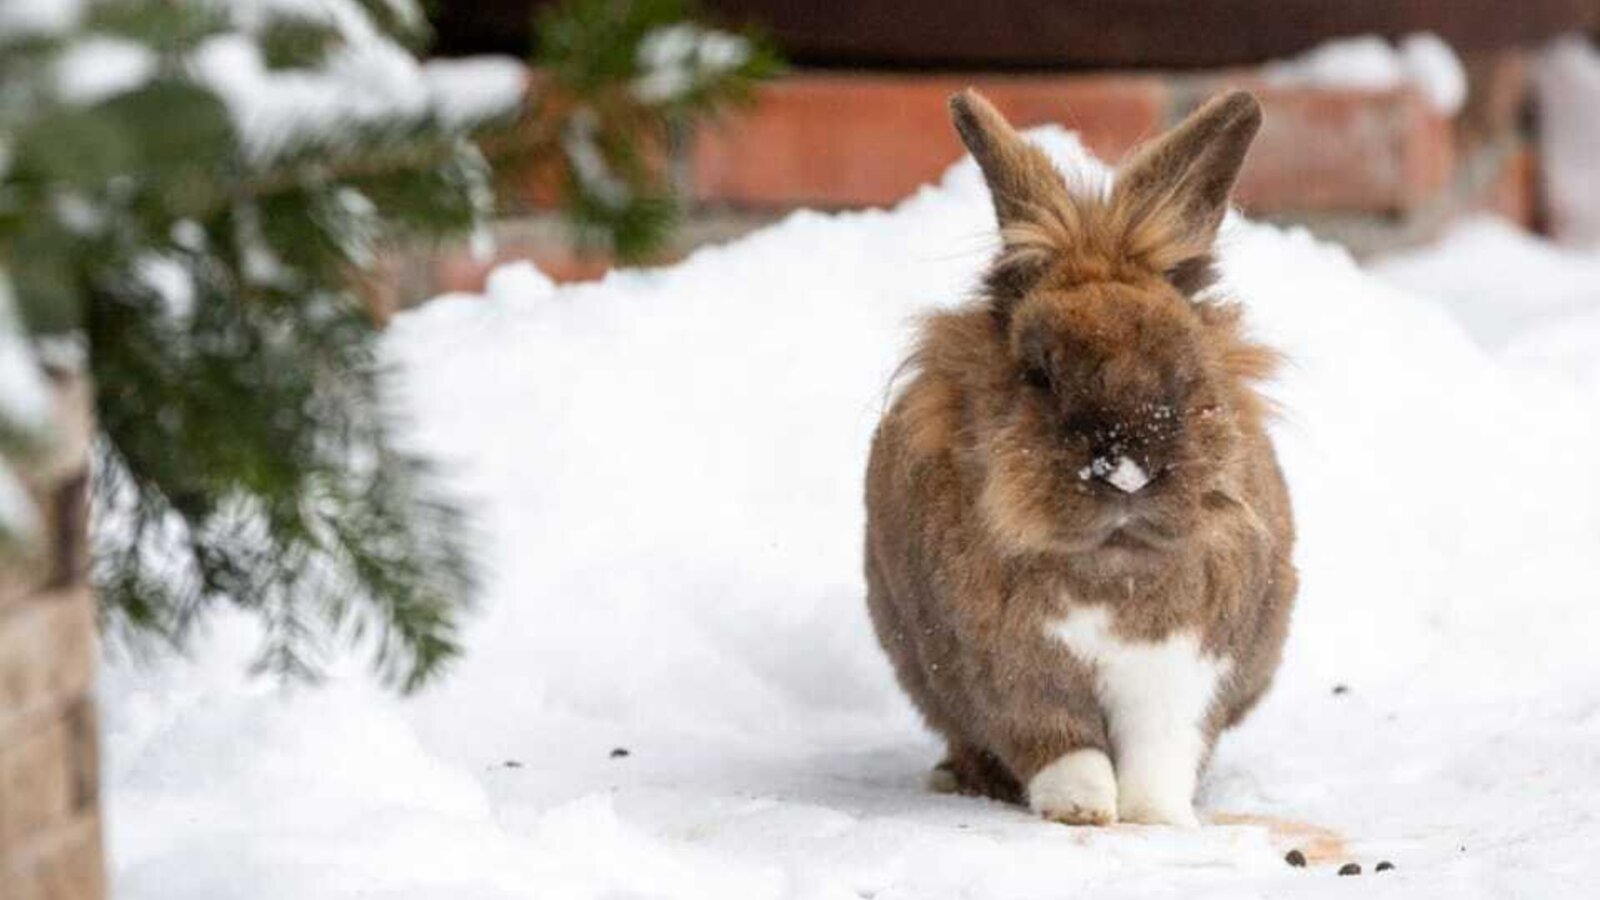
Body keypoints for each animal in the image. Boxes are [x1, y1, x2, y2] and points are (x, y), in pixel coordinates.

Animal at [864, 89, 1296, 827]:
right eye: (1038, 373)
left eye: (1185, 372)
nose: (1124, 472)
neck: (1107, 565)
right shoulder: (1007, 673)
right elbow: (1063, 748)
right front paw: (1083, 811)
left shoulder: (1183, 676)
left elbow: (1160, 756)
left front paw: (1156, 819)